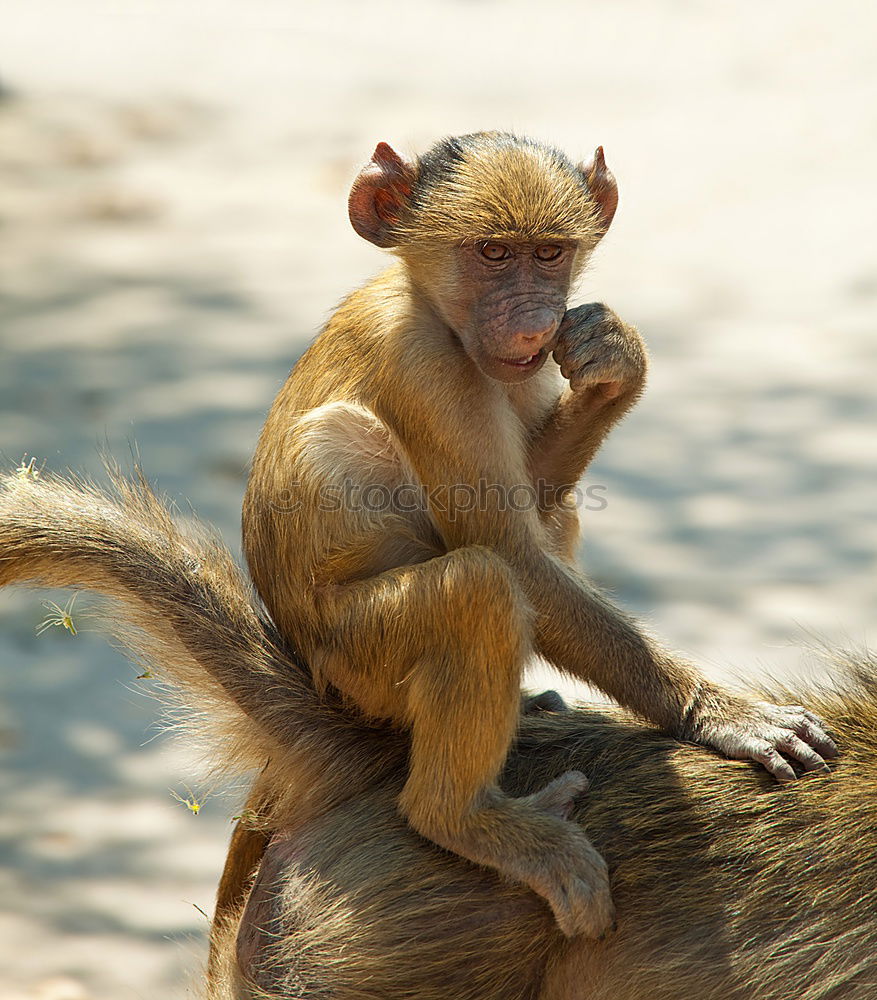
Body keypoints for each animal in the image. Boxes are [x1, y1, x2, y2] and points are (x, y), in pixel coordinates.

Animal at [243, 133, 840, 936]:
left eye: (549, 253)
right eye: (493, 253)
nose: (532, 322)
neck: (432, 306)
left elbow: (536, 495)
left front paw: (616, 361)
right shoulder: (428, 370)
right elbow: (510, 554)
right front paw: (721, 717)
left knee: (553, 518)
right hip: (357, 664)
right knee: (477, 586)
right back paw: (463, 818)